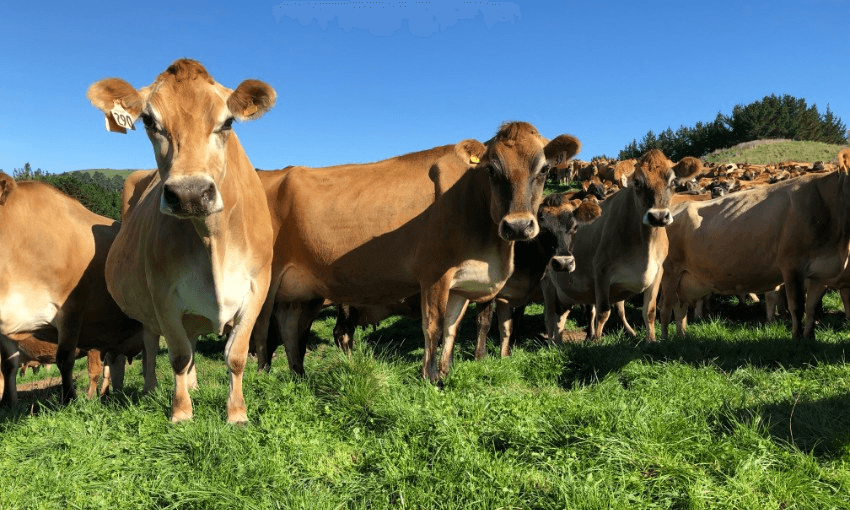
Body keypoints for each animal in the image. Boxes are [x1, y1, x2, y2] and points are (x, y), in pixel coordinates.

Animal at [87, 59, 275, 423]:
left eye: (228, 121)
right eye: (149, 121)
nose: (190, 193)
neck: (213, 239)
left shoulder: (257, 286)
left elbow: (235, 355)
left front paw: (236, 413)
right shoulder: (162, 292)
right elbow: (177, 355)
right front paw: (181, 412)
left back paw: (195, 385)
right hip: (145, 307)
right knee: (151, 344)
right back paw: (151, 389)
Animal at [253, 122, 581, 382]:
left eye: (544, 169)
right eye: (491, 169)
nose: (518, 226)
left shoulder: (461, 285)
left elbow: (451, 328)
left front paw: (446, 372)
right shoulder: (433, 275)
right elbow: (433, 327)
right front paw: (430, 377)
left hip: (302, 292)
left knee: (290, 329)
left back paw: (297, 377)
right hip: (265, 282)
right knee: (261, 333)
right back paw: (263, 380)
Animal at [542, 150, 702, 343]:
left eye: (673, 182)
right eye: (637, 182)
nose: (658, 217)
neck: (644, 248)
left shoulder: (657, 273)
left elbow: (649, 311)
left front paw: (651, 340)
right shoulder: (601, 272)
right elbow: (603, 312)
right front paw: (597, 342)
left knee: (563, 315)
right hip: (548, 284)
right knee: (550, 315)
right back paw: (552, 341)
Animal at [660, 149, 850, 341]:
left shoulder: (822, 273)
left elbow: (811, 309)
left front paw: (810, 337)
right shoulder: (791, 266)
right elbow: (797, 307)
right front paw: (797, 338)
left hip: (684, 280)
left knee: (680, 309)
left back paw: (682, 336)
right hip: (669, 273)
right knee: (665, 309)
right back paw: (664, 340)